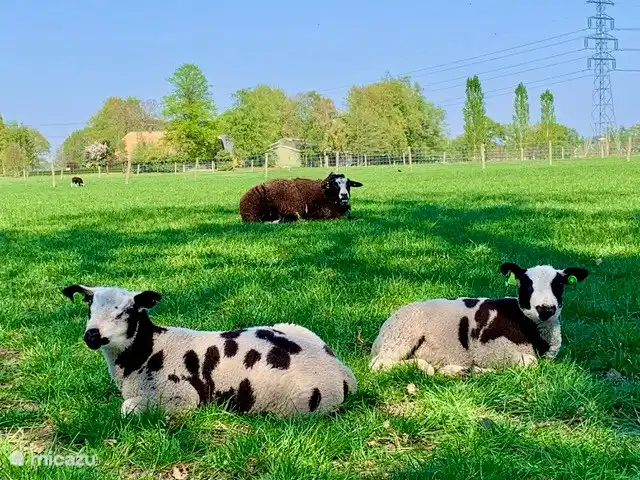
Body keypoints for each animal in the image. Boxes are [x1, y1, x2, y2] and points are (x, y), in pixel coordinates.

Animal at [61, 285, 357, 416]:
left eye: (125, 312)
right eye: (89, 308)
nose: (92, 335)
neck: (147, 350)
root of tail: (342, 374)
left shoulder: (180, 397)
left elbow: (126, 408)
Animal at [370, 263, 589, 375]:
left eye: (559, 285)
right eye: (527, 285)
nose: (546, 309)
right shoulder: (492, 349)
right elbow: (529, 362)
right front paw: (480, 370)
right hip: (402, 337)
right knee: (379, 364)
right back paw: (428, 368)